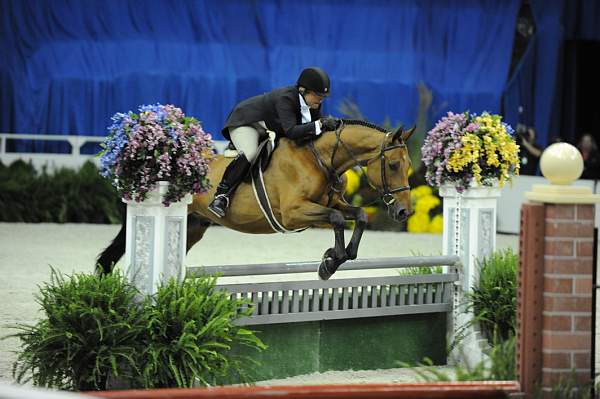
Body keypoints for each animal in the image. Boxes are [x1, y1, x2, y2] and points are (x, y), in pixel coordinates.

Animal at [96, 122, 412, 282]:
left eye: (408, 165)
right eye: (394, 165)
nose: (404, 212)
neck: (320, 159)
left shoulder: (332, 204)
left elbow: (359, 215)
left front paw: (338, 257)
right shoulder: (293, 214)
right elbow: (335, 219)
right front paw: (330, 262)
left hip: (193, 226)